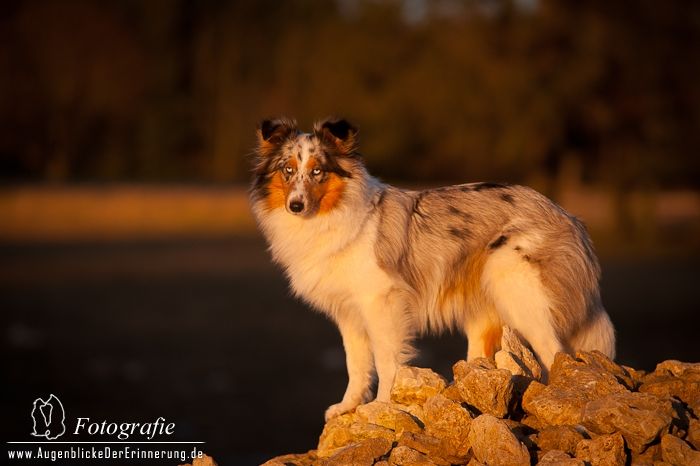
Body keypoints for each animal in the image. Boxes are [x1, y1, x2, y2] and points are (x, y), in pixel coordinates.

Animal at [250, 117, 612, 422]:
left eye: (317, 172)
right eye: (287, 169)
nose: (296, 206)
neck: (333, 214)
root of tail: (569, 216)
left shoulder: (382, 303)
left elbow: (386, 360)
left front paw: (382, 405)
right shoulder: (349, 312)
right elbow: (356, 363)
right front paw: (348, 406)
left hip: (518, 289)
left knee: (554, 352)